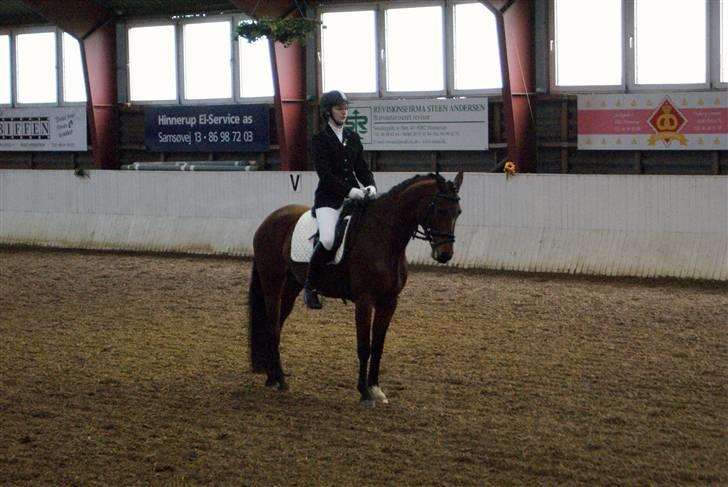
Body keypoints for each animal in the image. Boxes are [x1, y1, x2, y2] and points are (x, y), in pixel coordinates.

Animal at [249, 172, 466, 404]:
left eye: (458, 212)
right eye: (440, 210)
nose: (445, 254)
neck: (384, 237)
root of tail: (269, 220)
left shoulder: (389, 302)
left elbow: (378, 345)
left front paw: (376, 389)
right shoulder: (365, 300)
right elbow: (364, 347)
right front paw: (364, 393)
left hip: (291, 286)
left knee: (277, 326)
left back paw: (272, 377)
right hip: (272, 284)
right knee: (273, 327)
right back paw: (281, 380)